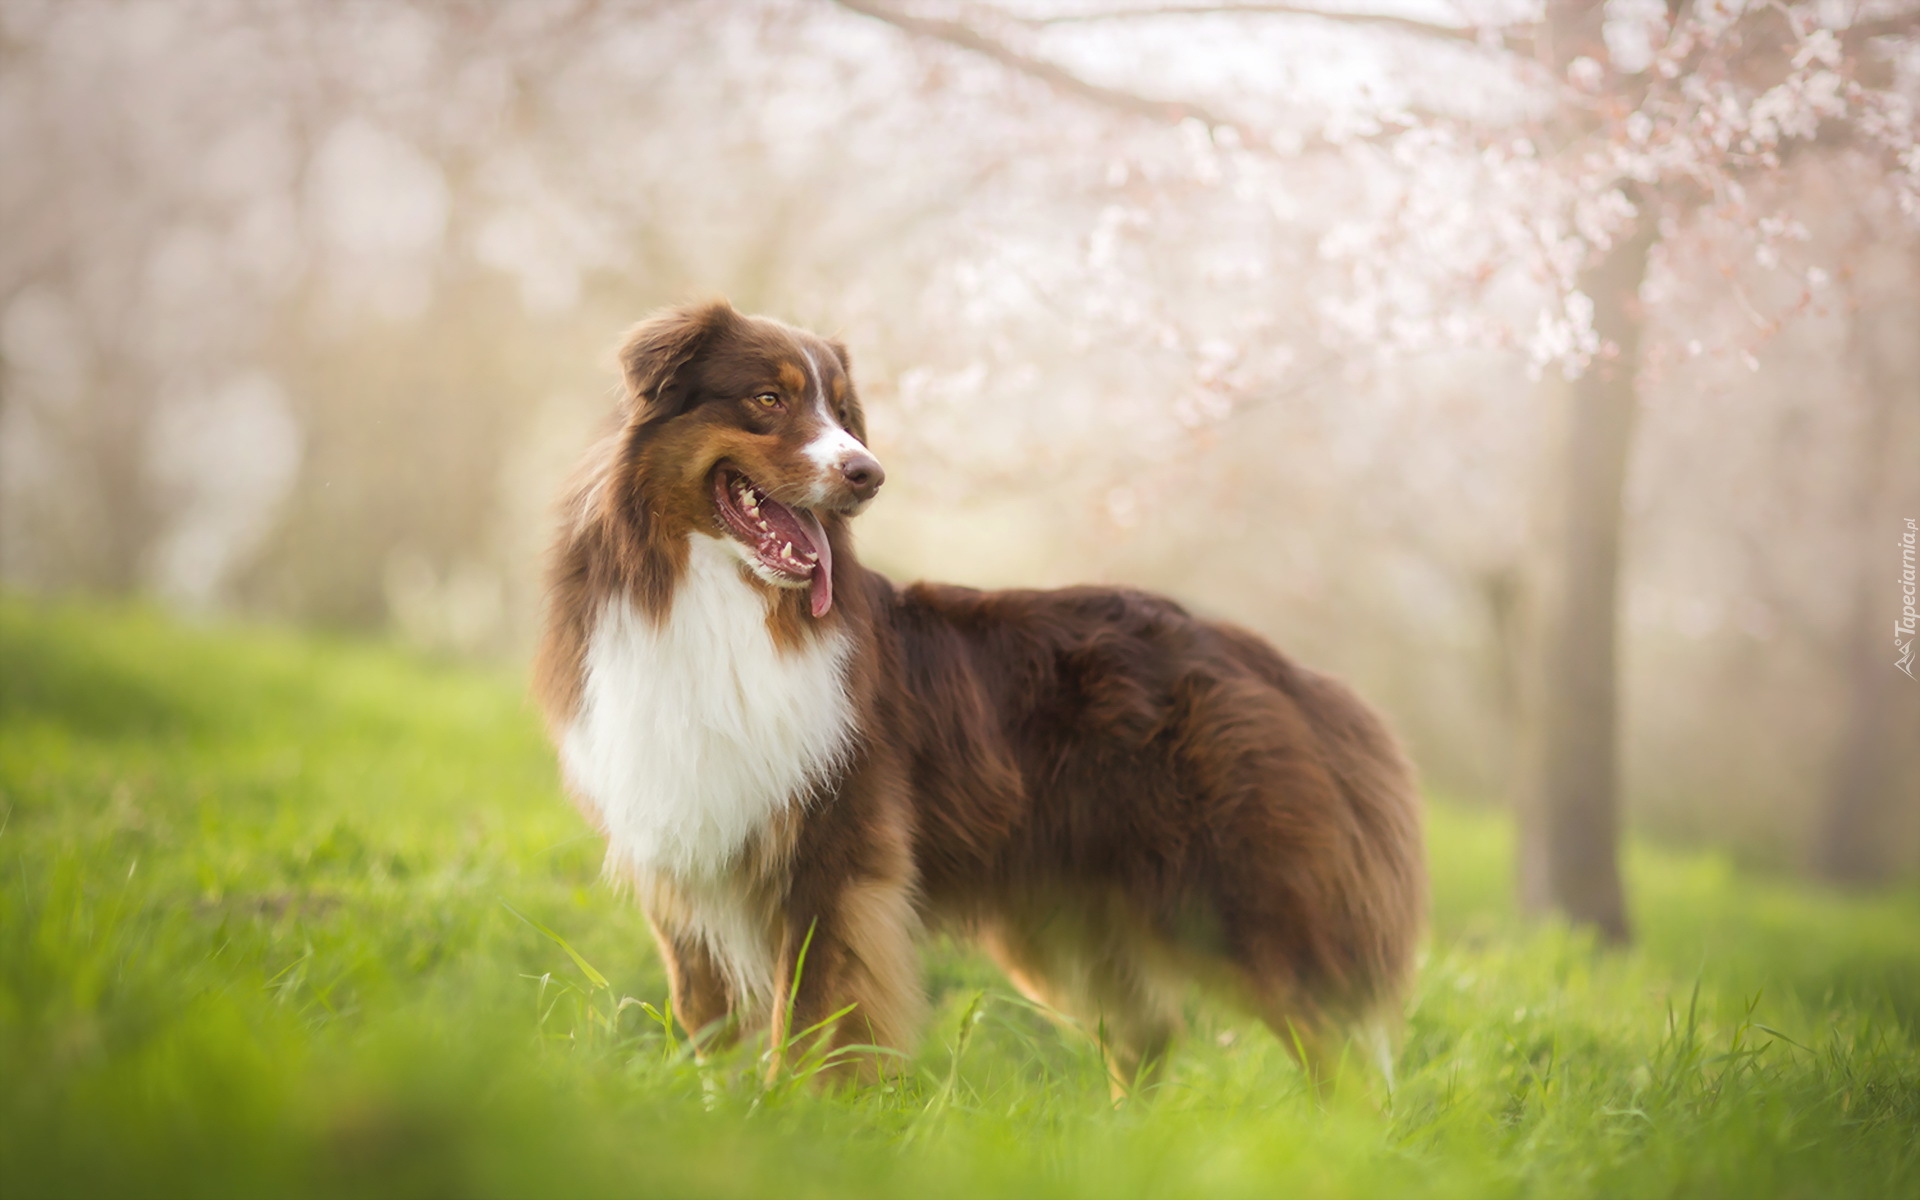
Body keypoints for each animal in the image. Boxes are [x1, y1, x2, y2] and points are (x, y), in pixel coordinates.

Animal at [537, 301, 1428, 1098]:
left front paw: (796, 1119)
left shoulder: (837, 859)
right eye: (768, 399)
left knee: (1337, 1051)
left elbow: (817, 1023)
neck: (718, 599)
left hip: (1234, 904)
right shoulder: (685, 850)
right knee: (1146, 1038)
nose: (868, 474)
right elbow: (708, 1025)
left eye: (844, 414)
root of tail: (1282, 668)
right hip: (1078, 916)